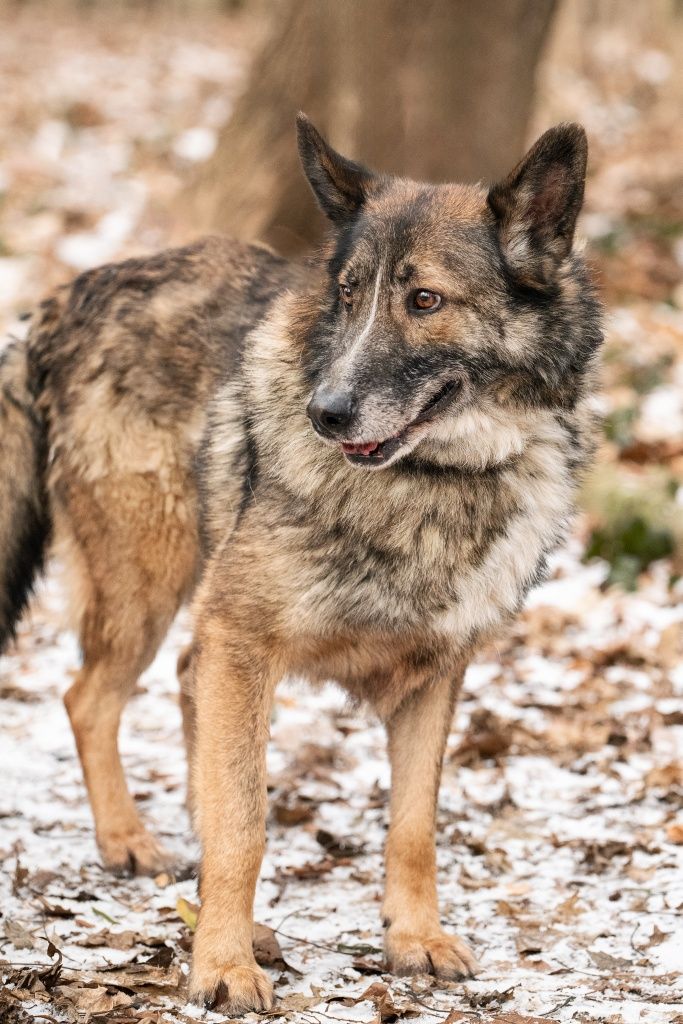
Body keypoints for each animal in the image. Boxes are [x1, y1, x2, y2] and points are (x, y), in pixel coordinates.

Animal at [0, 116, 602, 1011]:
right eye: (347, 295)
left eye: (424, 301)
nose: (325, 413)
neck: (435, 481)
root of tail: (61, 301)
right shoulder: (242, 640)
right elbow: (245, 823)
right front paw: (218, 967)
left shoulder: (433, 680)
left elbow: (412, 828)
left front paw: (413, 939)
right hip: (152, 584)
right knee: (88, 700)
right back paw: (133, 845)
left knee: (164, 697)